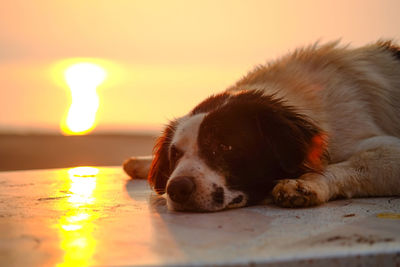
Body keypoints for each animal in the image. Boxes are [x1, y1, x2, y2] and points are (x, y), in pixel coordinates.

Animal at [123, 40, 400, 213]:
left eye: (225, 146)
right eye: (175, 154)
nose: (177, 188)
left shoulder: (385, 147)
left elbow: (347, 166)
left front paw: (306, 184)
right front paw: (146, 163)